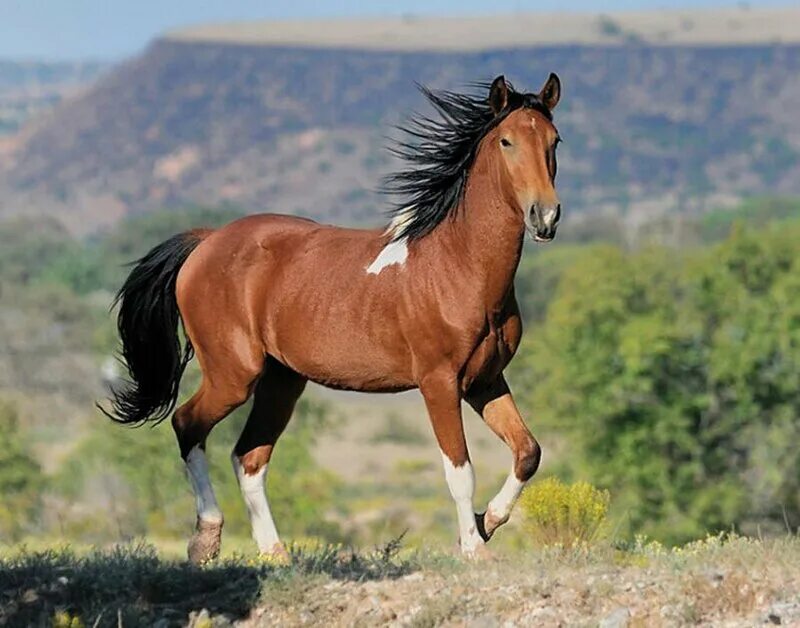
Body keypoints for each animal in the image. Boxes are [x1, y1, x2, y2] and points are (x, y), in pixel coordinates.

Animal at [104, 73, 564, 564]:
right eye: (506, 141)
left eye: (554, 140)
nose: (545, 216)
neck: (456, 265)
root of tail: (207, 241)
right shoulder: (438, 382)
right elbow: (460, 471)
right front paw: (474, 547)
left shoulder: (485, 380)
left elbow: (528, 451)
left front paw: (487, 522)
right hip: (234, 375)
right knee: (188, 425)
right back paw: (206, 540)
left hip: (282, 381)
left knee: (248, 457)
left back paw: (275, 553)